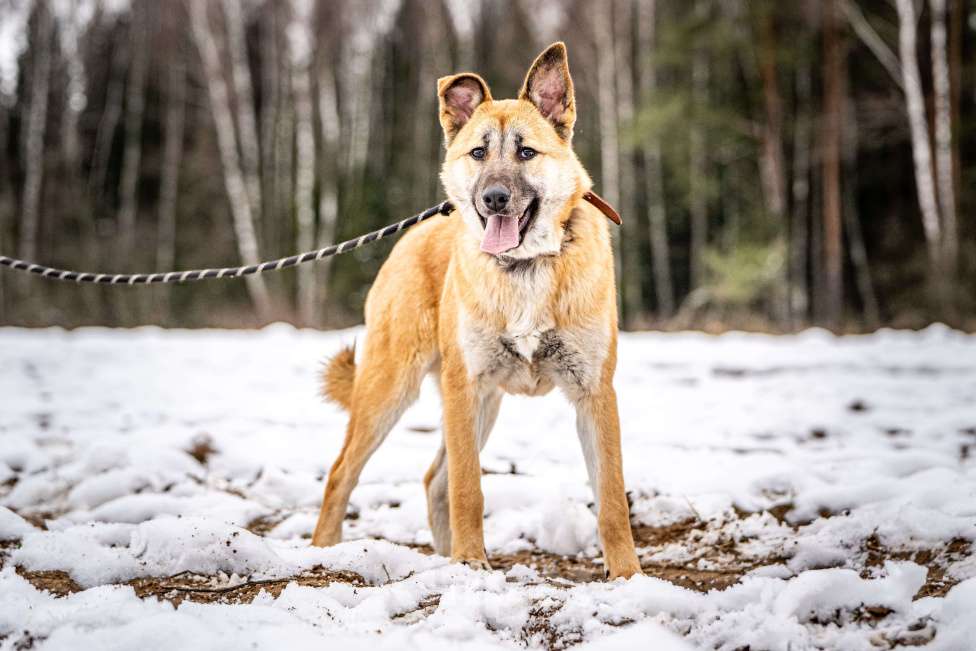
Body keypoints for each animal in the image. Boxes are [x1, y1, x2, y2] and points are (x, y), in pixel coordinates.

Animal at [312, 42, 644, 580]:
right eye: (478, 153)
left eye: (526, 152)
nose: (494, 198)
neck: (524, 267)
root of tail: (414, 233)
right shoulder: (464, 387)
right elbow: (470, 488)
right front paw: (470, 560)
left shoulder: (594, 393)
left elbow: (612, 497)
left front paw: (627, 575)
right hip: (395, 389)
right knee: (344, 474)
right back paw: (326, 551)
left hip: (481, 406)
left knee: (433, 479)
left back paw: (443, 557)